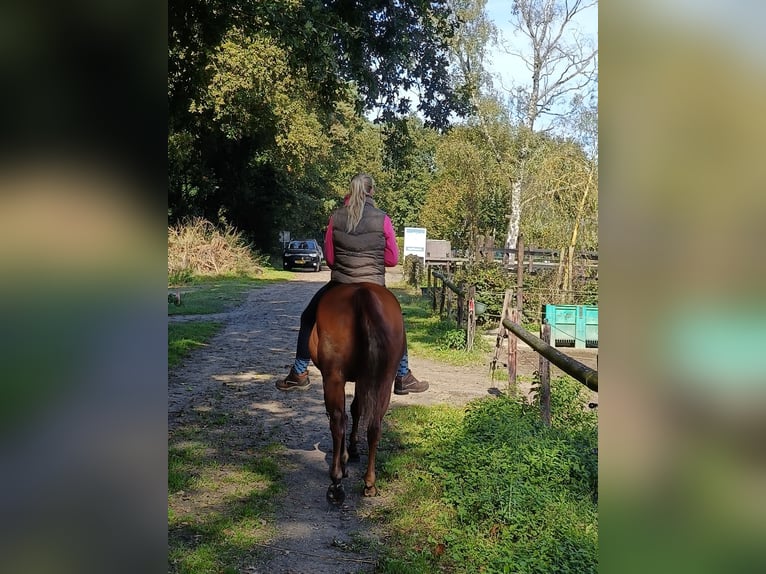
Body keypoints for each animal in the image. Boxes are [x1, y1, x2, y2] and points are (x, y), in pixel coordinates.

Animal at [308, 282, 404, 504]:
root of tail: (363, 294)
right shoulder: (363, 378)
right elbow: (357, 409)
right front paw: (352, 450)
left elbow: (347, 412)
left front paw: (346, 458)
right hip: (384, 379)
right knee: (374, 426)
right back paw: (369, 483)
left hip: (333, 377)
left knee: (337, 420)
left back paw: (336, 483)